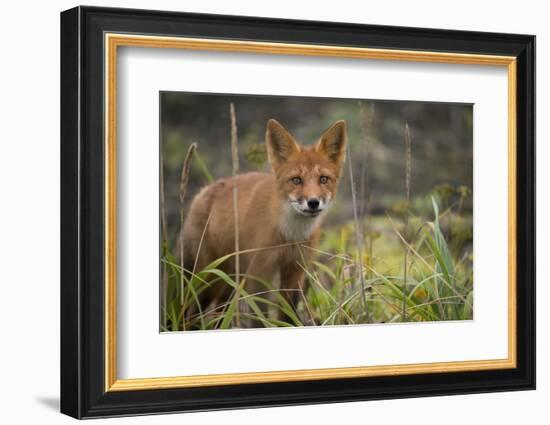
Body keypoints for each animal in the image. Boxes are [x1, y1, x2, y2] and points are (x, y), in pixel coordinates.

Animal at [185, 118, 350, 324]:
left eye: (323, 179)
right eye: (296, 180)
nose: (313, 202)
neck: (289, 235)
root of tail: (202, 193)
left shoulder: (295, 271)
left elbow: (287, 316)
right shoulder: (259, 272)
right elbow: (260, 318)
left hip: (228, 282)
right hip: (211, 278)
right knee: (191, 314)